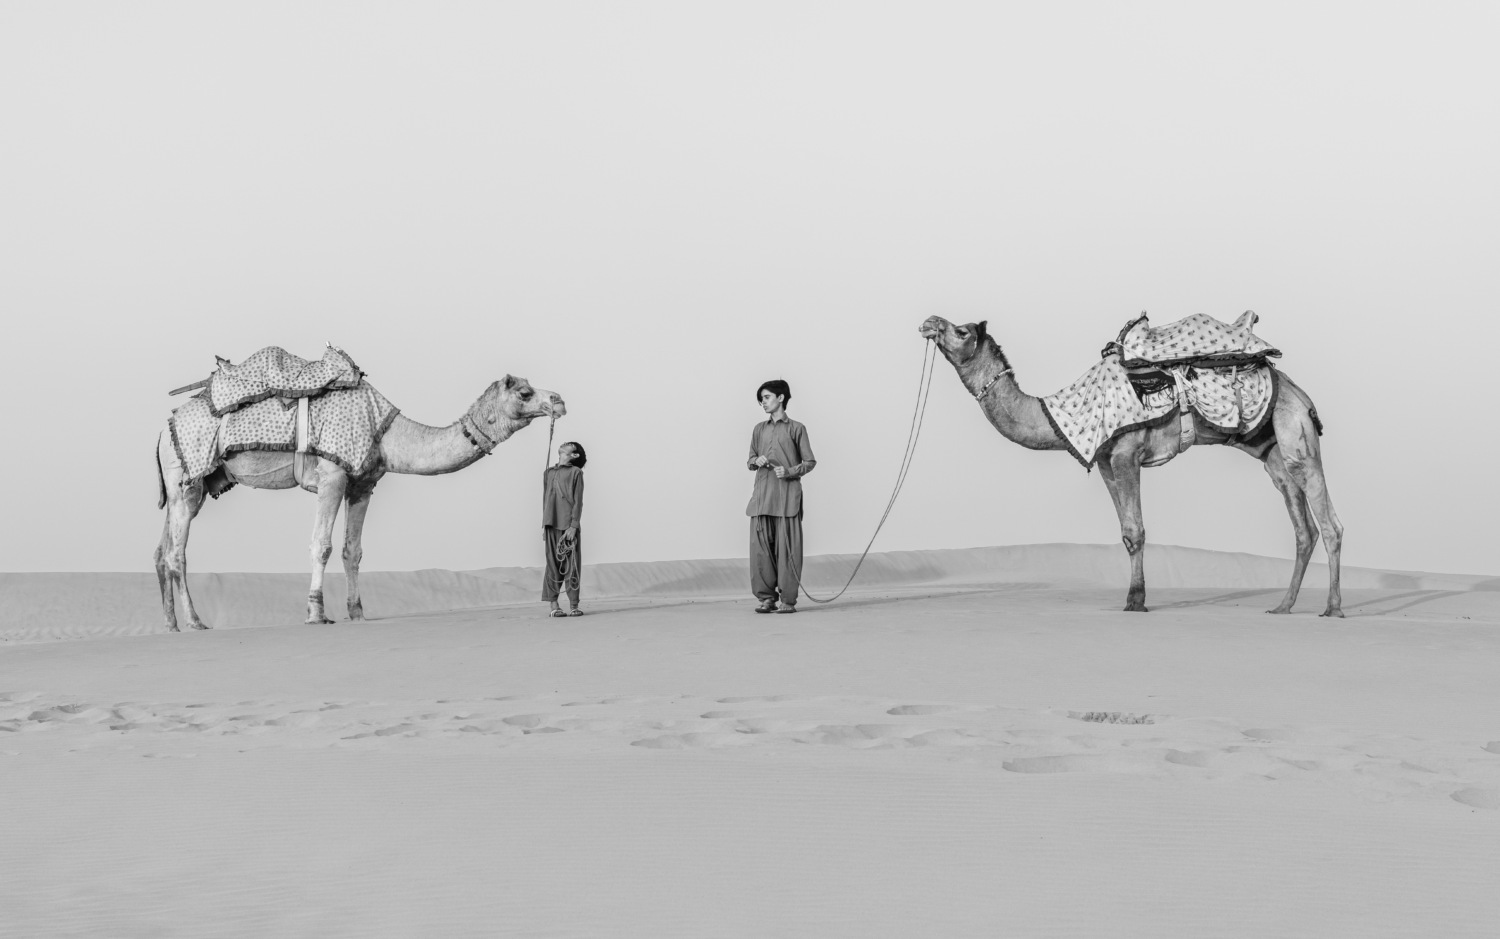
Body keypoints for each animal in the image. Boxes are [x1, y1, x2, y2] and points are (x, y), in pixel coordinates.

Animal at [153, 375, 564, 631]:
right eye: (525, 393)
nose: (558, 400)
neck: (385, 434)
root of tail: (162, 431)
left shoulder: (364, 484)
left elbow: (353, 551)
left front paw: (357, 613)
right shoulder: (332, 476)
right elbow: (321, 545)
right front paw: (316, 612)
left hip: (190, 485)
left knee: (163, 548)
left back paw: (171, 624)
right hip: (186, 475)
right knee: (177, 553)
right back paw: (195, 622)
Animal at [918, 316, 1343, 616]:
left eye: (960, 330)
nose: (928, 322)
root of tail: (1302, 396)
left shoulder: (1126, 453)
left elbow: (1137, 531)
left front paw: (1136, 601)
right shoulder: (1106, 461)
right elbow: (1125, 533)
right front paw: (1134, 596)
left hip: (1296, 433)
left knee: (1329, 522)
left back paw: (1332, 608)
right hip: (1271, 451)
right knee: (1302, 525)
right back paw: (1283, 606)